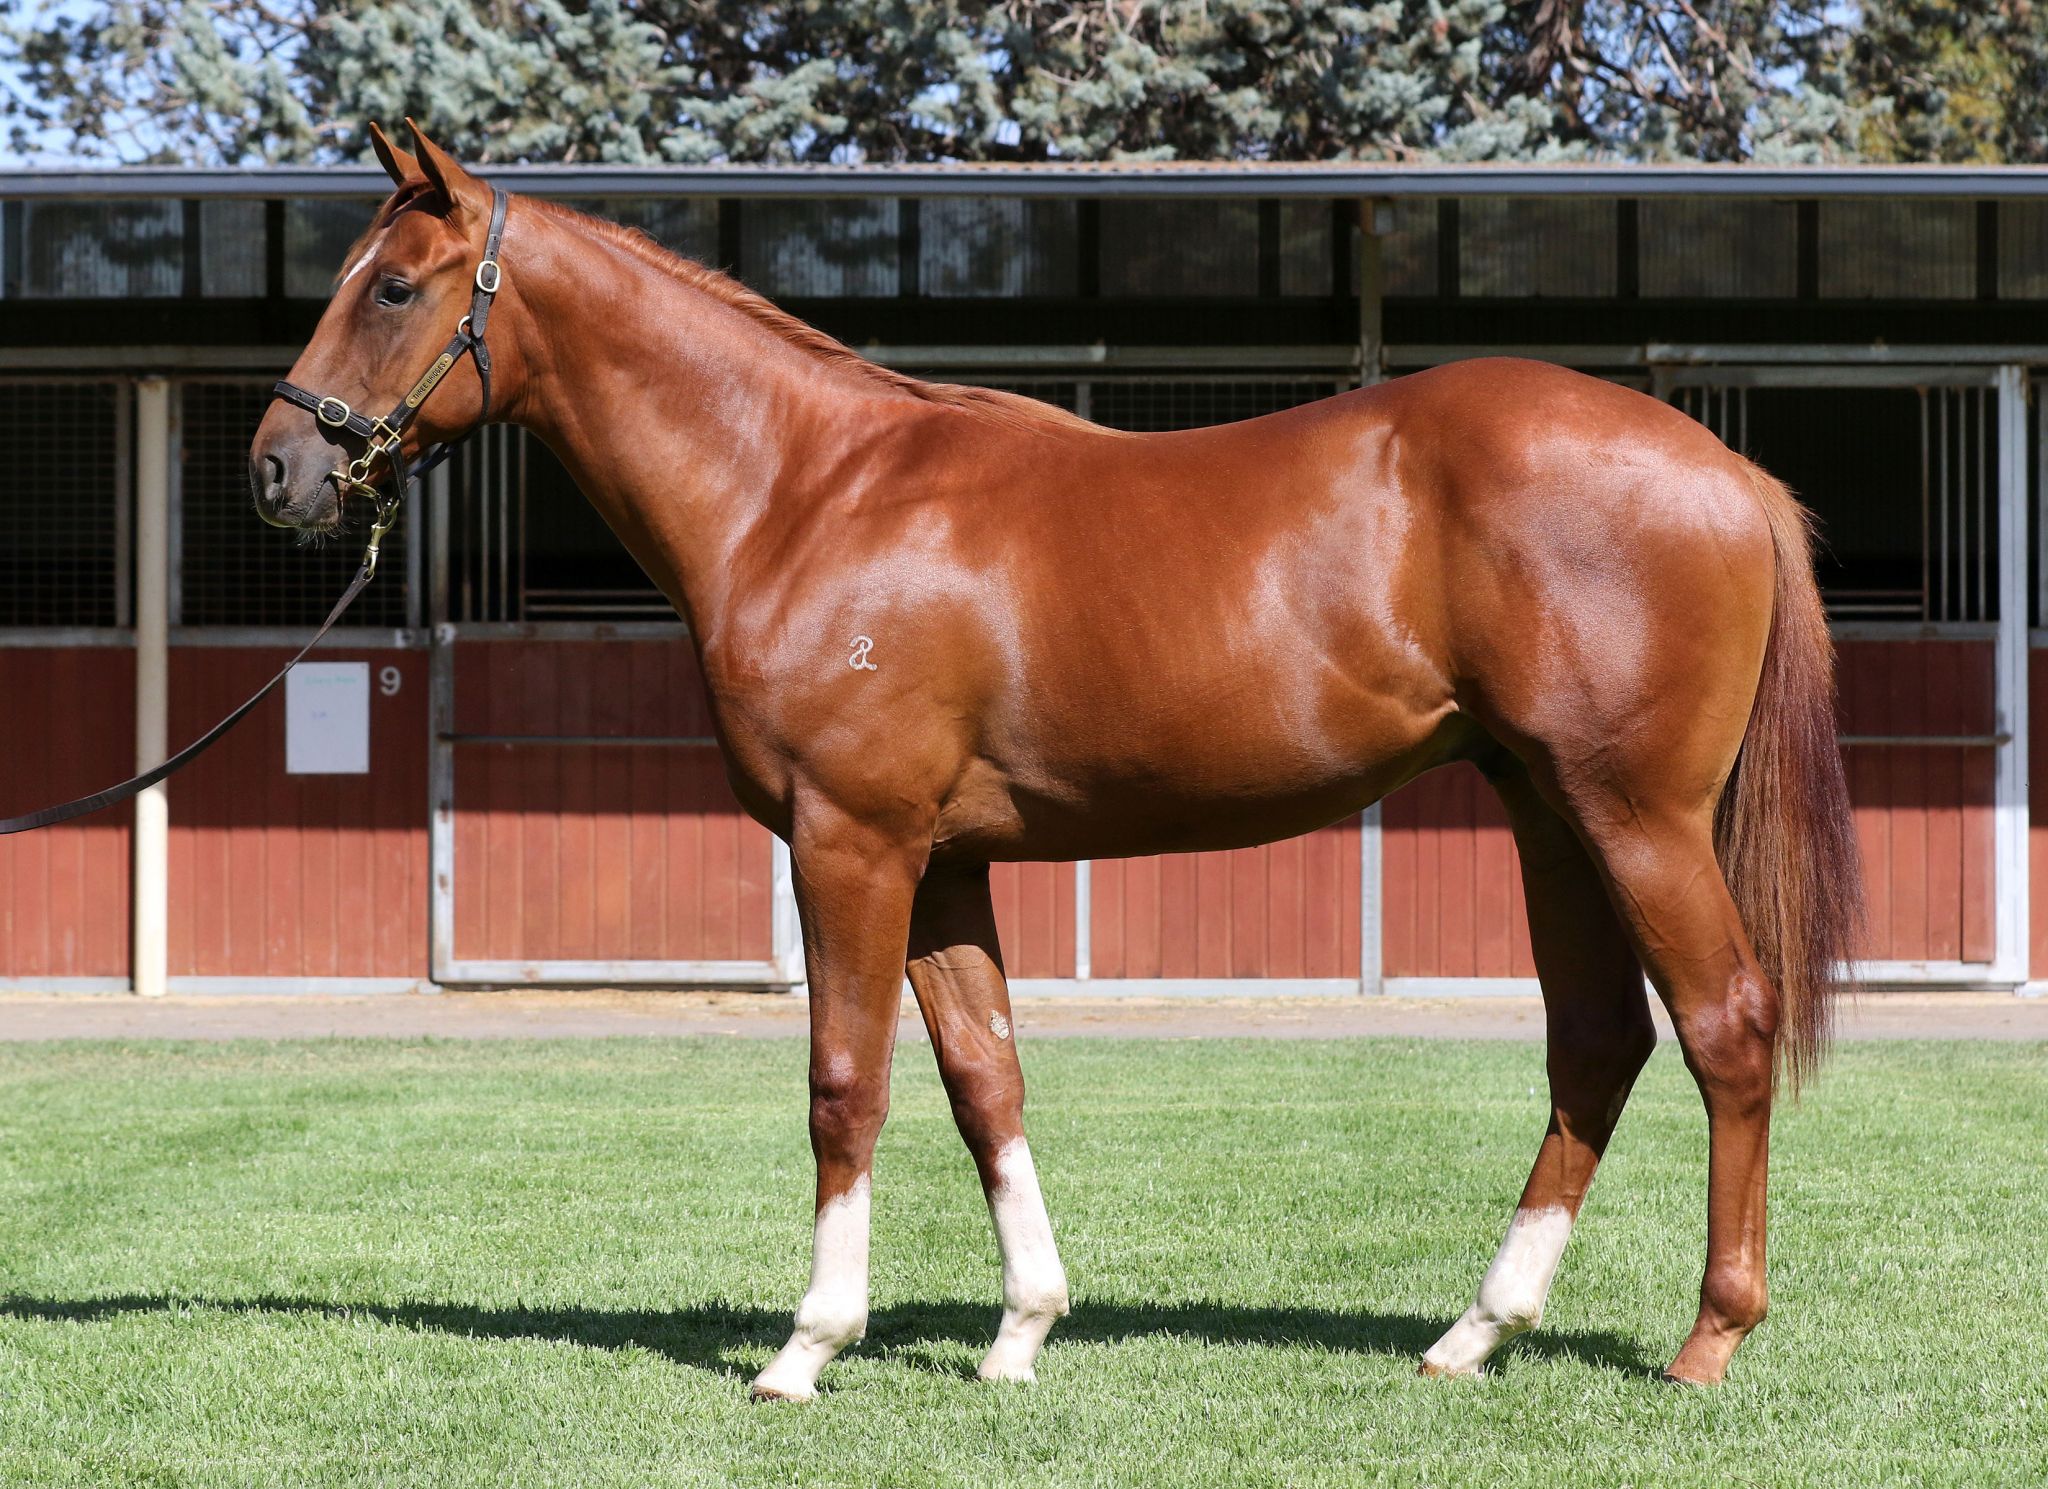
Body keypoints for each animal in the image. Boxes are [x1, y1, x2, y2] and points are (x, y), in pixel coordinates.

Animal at [251, 121, 1862, 1398]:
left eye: (394, 286)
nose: (281, 468)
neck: (802, 490)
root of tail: (1725, 470)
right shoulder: (945, 862)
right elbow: (986, 1079)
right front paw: (1021, 1332)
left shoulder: (852, 842)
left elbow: (846, 1081)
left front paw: (806, 1347)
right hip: (1544, 809)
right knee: (1597, 1040)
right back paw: (1474, 1333)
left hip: (1633, 813)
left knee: (1724, 1025)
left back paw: (1707, 1340)